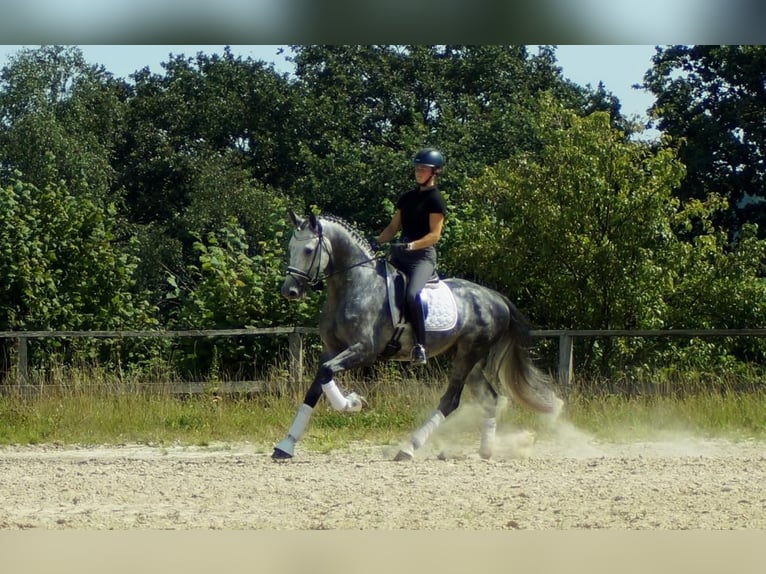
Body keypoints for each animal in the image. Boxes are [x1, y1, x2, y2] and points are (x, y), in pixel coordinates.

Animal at [272, 213, 564, 464]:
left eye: (308, 250)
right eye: (290, 247)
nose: (290, 291)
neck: (354, 285)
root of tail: (496, 298)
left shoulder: (363, 350)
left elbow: (326, 374)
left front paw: (354, 403)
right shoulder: (332, 349)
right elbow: (317, 383)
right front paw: (285, 446)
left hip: (468, 354)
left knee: (451, 400)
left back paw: (409, 448)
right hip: (467, 357)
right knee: (489, 399)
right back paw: (485, 451)